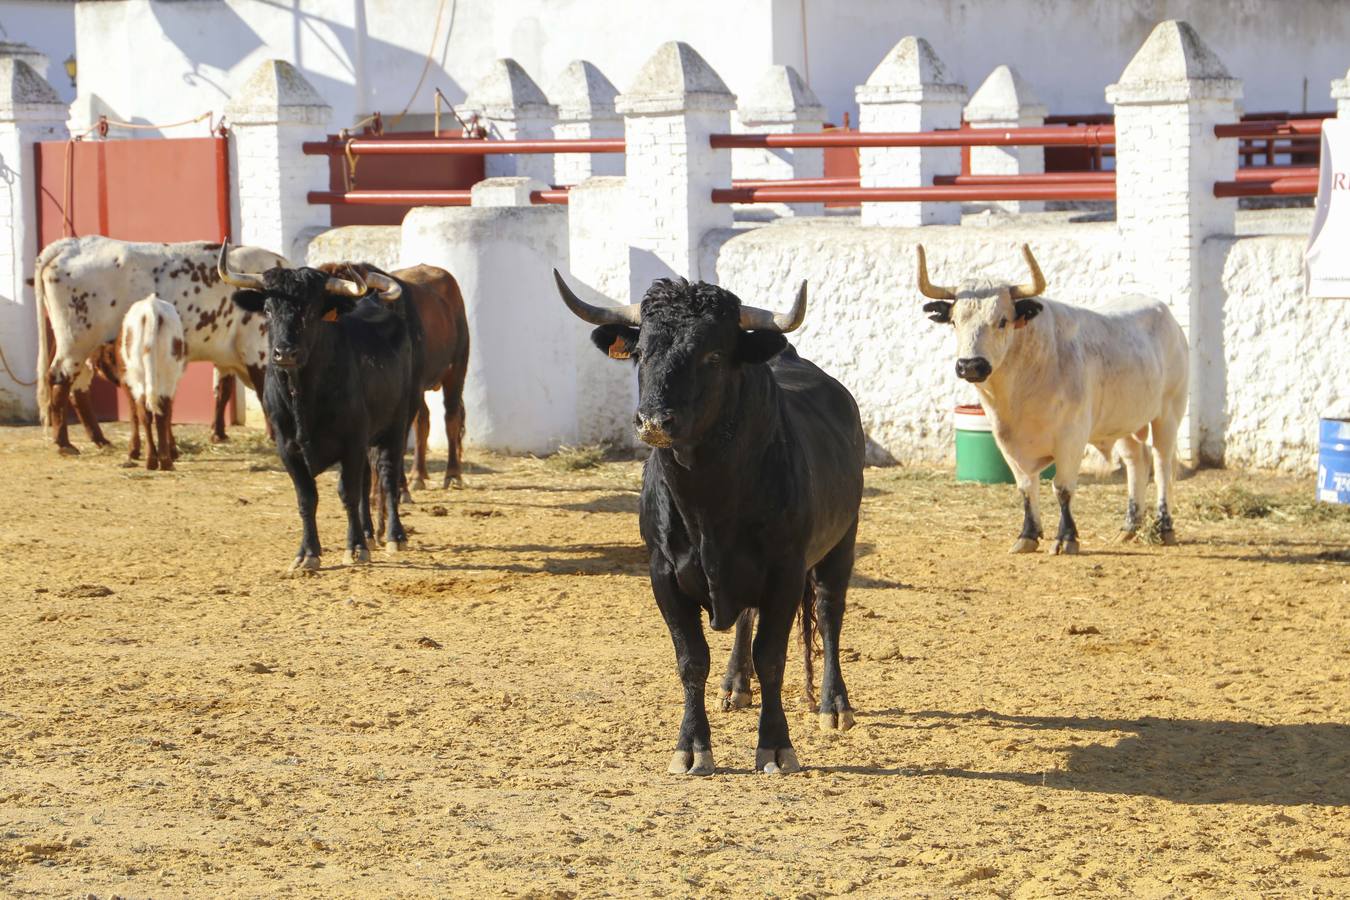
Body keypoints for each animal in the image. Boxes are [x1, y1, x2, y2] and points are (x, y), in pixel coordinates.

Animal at [34, 236, 287, 453]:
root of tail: (70, 244)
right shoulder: (256, 350)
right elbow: (265, 393)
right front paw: (274, 437)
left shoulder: (225, 354)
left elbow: (222, 391)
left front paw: (219, 434)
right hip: (75, 341)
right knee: (60, 378)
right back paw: (64, 443)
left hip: (85, 348)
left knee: (78, 386)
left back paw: (99, 439)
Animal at [918, 246, 1193, 555]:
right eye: (955, 321)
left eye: (1002, 321)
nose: (970, 366)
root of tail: (1166, 314)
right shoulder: (1007, 442)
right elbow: (1026, 486)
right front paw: (1027, 535)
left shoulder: (1071, 438)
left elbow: (1062, 488)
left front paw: (1067, 538)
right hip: (1123, 421)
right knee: (1137, 461)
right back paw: (1128, 528)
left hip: (1169, 413)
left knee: (1162, 464)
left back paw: (1164, 527)